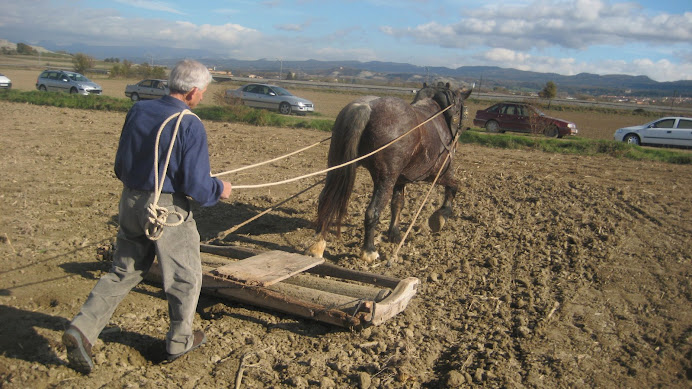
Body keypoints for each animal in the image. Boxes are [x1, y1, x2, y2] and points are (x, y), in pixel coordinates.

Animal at [306, 82, 474, 264]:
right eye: (464, 110)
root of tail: (365, 107)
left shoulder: (400, 180)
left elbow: (397, 204)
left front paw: (394, 234)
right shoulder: (438, 173)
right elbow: (454, 186)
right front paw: (441, 216)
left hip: (338, 167)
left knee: (325, 199)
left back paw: (318, 244)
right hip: (385, 179)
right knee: (372, 211)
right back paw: (369, 251)